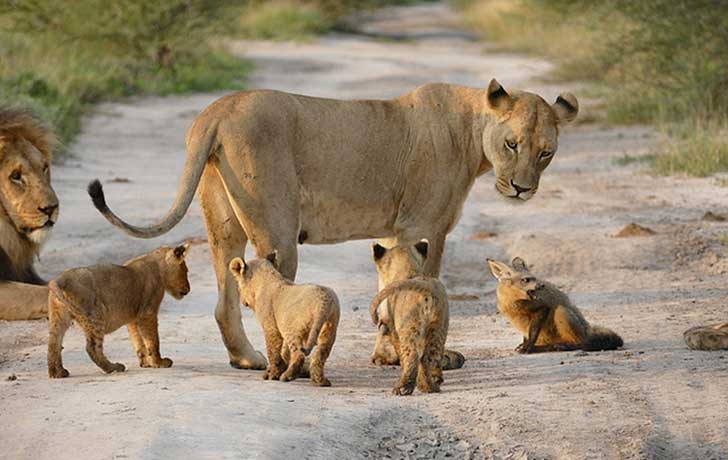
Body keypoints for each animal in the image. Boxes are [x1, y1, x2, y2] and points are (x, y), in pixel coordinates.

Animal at [88, 77, 576, 368]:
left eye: (545, 152)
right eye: (511, 144)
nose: (522, 189)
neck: (473, 134)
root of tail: (219, 109)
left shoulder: (398, 230)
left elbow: (389, 286)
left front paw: (387, 354)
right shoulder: (423, 227)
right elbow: (420, 286)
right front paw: (424, 356)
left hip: (223, 223)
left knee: (225, 299)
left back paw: (247, 360)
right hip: (277, 227)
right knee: (269, 294)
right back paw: (292, 366)